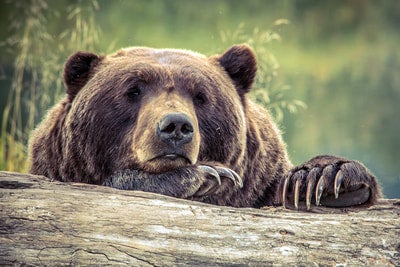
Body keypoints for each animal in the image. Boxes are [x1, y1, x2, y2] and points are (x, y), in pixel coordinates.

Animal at [28, 44, 382, 211]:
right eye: (133, 90)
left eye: (200, 95)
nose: (176, 126)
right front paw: (205, 175)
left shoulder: (260, 181)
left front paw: (323, 179)